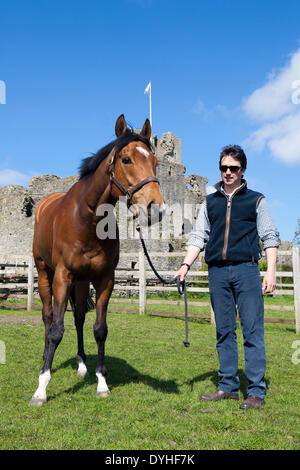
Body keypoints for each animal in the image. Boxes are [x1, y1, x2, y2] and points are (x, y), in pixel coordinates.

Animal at [30, 114, 164, 404]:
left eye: (155, 161)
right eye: (126, 159)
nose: (155, 209)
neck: (87, 219)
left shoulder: (105, 279)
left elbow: (99, 329)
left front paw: (101, 382)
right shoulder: (62, 276)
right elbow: (56, 330)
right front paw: (41, 387)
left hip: (81, 282)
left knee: (79, 318)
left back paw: (81, 364)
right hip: (45, 273)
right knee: (48, 317)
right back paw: (45, 360)